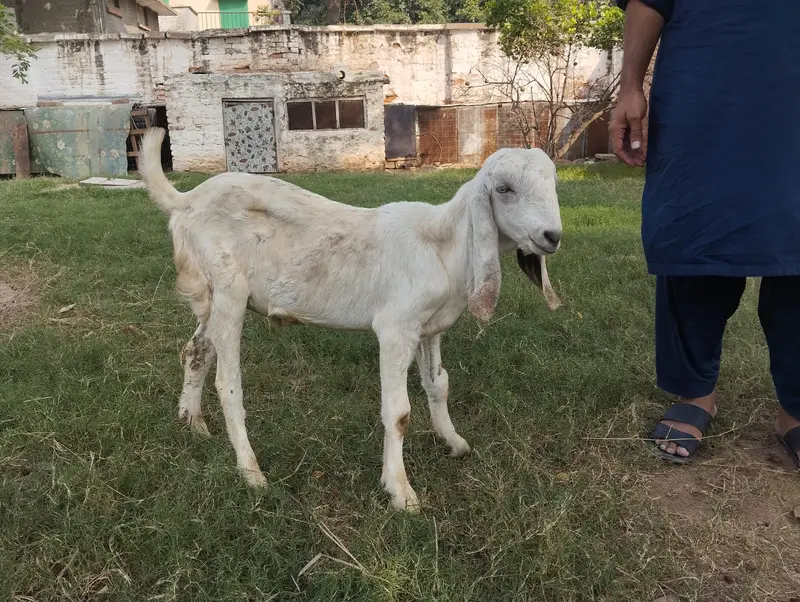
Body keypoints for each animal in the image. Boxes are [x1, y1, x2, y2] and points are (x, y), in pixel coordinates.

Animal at [139, 127, 562, 512]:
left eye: (553, 184)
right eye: (504, 189)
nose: (552, 236)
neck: (440, 244)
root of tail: (185, 201)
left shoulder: (428, 328)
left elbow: (438, 384)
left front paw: (454, 442)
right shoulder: (395, 328)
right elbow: (399, 412)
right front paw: (400, 491)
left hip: (211, 298)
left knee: (195, 351)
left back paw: (192, 423)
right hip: (229, 291)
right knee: (228, 383)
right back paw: (251, 472)